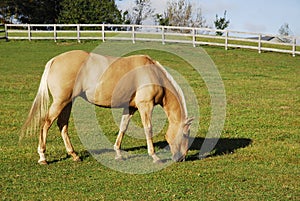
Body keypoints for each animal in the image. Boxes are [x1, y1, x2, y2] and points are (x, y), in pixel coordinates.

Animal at [22, 49, 193, 164]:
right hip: (60, 102)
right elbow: (148, 129)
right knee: (46, 124)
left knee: (62, 125)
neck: (153, 74)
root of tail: (54, 60)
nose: (182, 158)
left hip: (67, 102)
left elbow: (123, 127)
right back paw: (43, 157)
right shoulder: (146, 106)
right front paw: (155, 156)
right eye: (185, 135)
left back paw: (74, 155)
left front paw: (118, 153)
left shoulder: (131, 108)